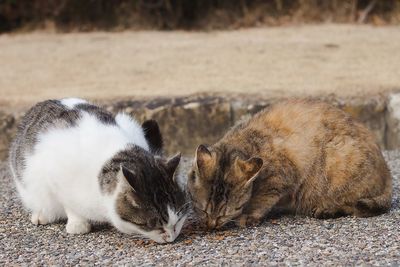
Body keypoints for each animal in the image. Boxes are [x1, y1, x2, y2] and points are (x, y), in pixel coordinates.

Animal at [8, 99, 188, 245]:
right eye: (152, 225)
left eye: (179, 219)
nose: (171, 237)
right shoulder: (55, 174)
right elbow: (69, 204)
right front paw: (77, 224)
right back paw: (42, 215)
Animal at [187, 99, 390, 229]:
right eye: (203, 210)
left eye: (225, 212)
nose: (212, 224)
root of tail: (387, 171)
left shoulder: (280, 177)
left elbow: (262, 199)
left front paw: (248, 215)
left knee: (354, 205)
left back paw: (327, 209)